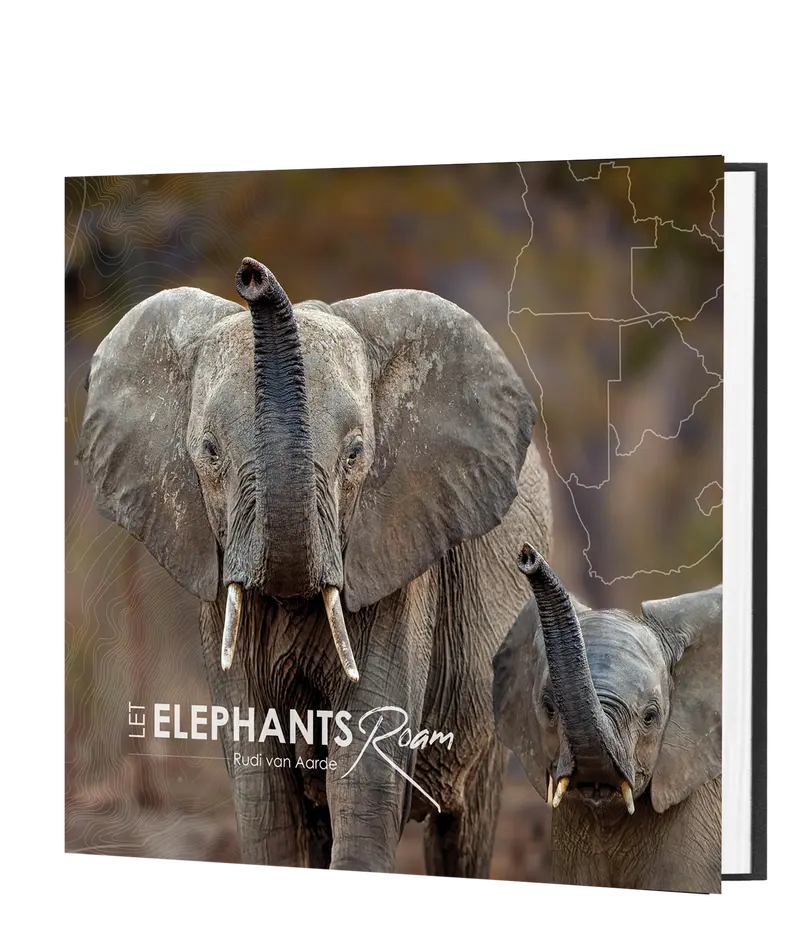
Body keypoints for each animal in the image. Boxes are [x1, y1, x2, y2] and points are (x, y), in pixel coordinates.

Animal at [77, 257, 554, 880]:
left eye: (355, 454)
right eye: (209, 451)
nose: (252, 275)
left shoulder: (395, 563)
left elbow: (365, 773)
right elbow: (262, 789)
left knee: (465, 825)